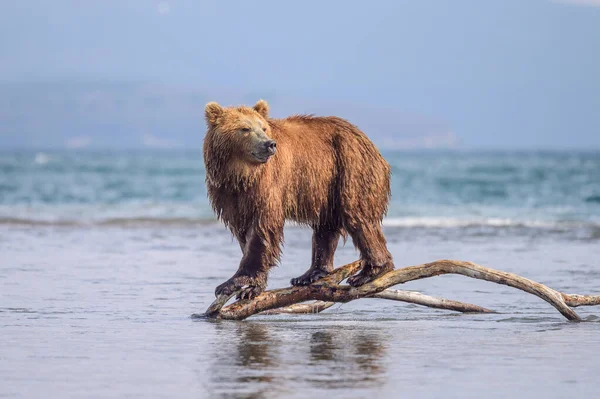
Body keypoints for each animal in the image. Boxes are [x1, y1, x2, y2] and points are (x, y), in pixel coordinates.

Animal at [204, 101, 396, 300]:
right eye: (245, 128)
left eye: (263, 127)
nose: (269, 144)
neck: (241, 174)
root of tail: (369, 142)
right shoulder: (228, 194)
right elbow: (243, 231)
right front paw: (251, 286)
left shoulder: (267, 185)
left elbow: (262, 230)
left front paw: (235, 283)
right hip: (327, 186)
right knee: (325, 226)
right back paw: (310, 274)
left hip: (351, 168)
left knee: (358, 217)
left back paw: (370, 272)